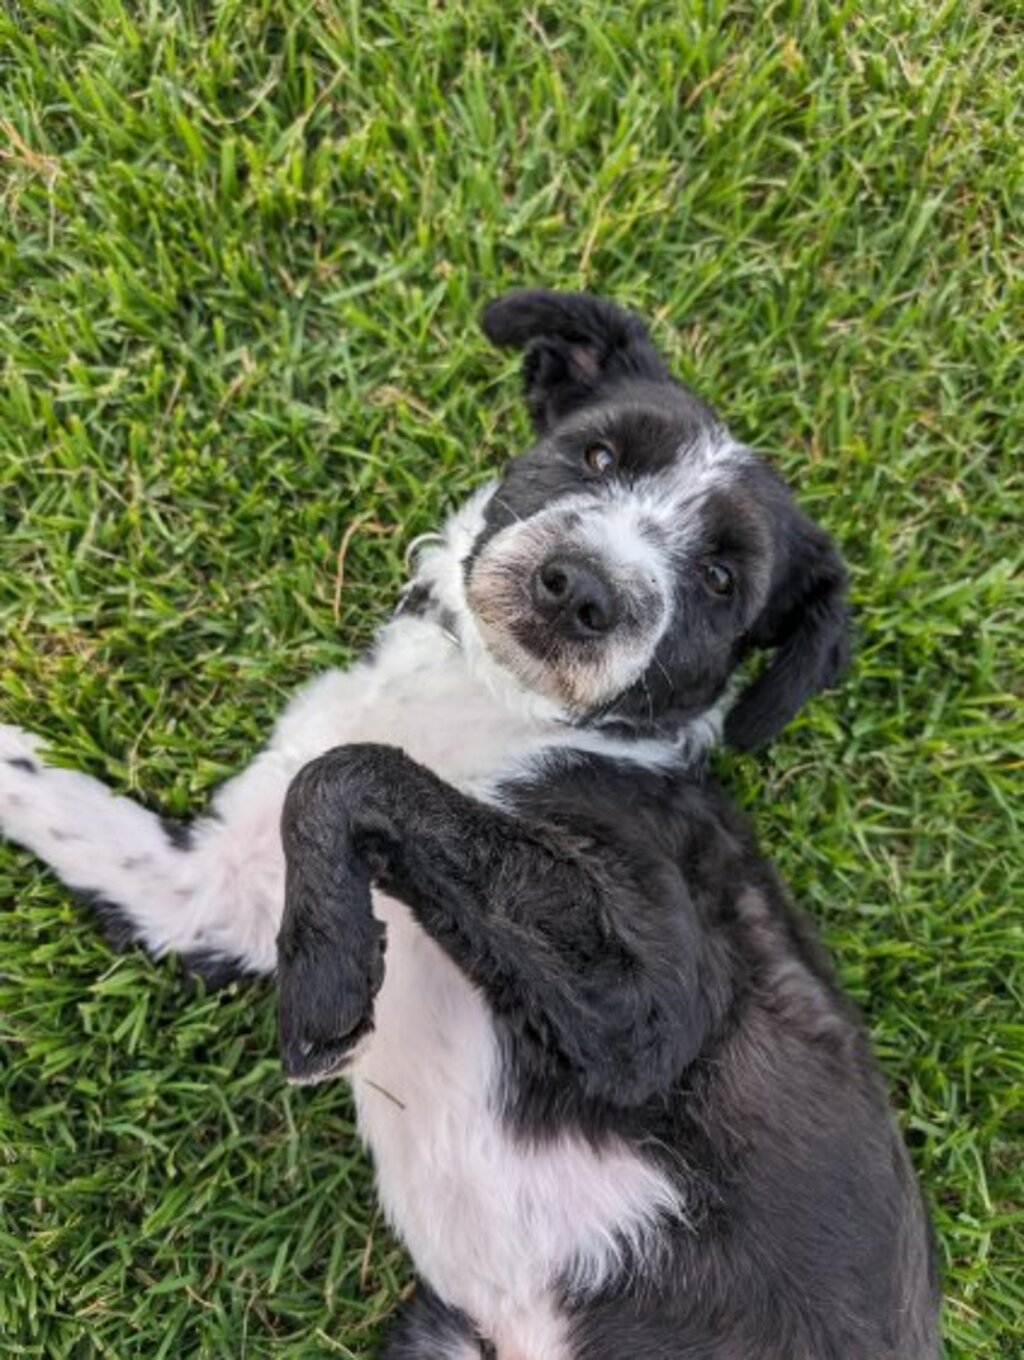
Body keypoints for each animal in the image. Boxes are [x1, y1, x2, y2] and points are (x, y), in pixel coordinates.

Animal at [0, 291, 939, 1358]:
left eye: (719, 581)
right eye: (598, 455)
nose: (580, 589)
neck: (491, 698)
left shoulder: (652, 1008)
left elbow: (350, 775)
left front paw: (325, 983)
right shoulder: (213, 892)